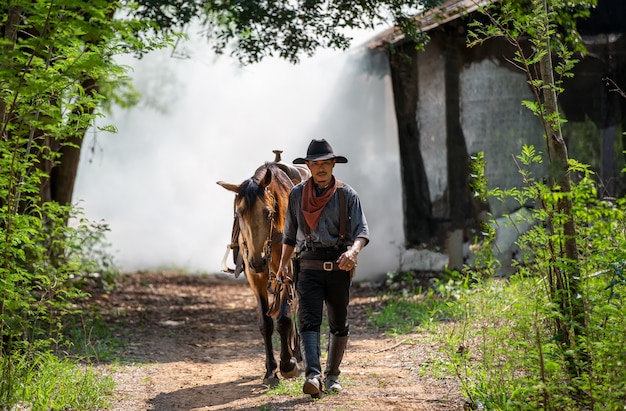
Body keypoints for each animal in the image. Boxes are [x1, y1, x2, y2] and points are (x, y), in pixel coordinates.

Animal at [217, 158, 310, 386]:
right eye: (239, 213)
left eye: (268, 213)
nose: (258, 261)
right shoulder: (255, 278)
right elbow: (266, 323)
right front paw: (270, 369)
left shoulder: (285, 270)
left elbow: (284, 319)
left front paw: (287, 364)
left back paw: (297, 355)